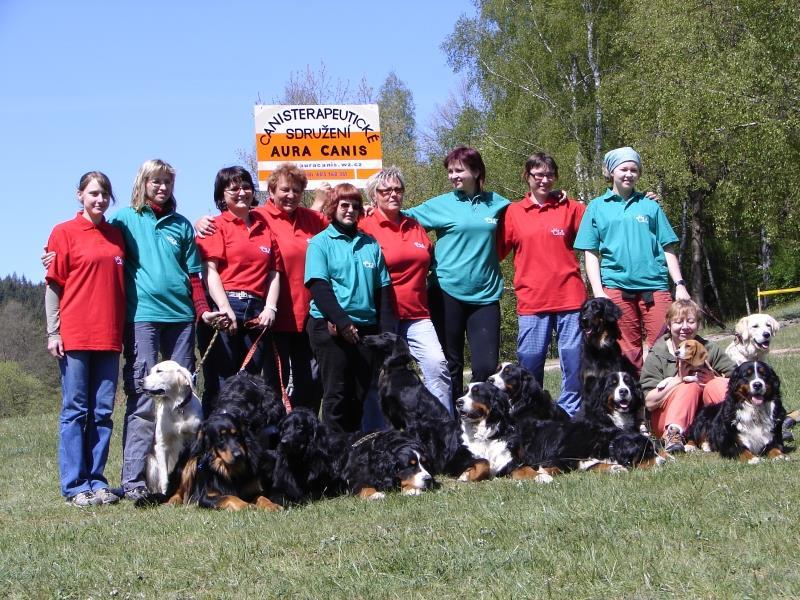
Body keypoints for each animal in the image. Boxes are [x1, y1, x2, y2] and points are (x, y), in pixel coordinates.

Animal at [142, 360, 203, 492]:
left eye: (159, 371)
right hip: (152, 464)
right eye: (151, 371)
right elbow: (165, 479)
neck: (177, 408)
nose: (140, 382)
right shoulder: (161, 445)